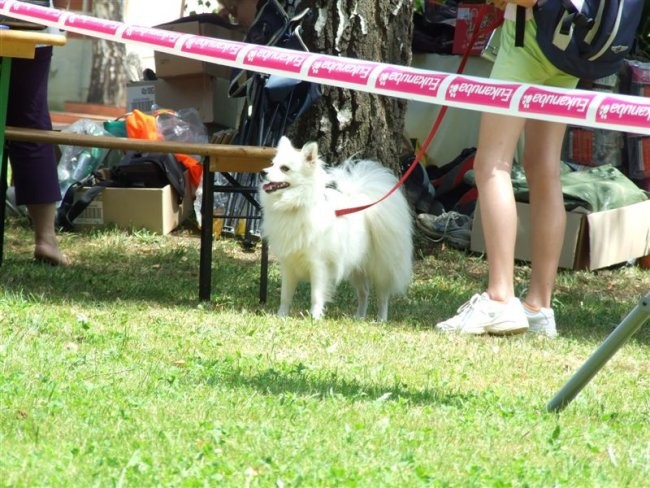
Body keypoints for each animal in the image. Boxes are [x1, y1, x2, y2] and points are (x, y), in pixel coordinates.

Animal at [256, 136, 410, 320]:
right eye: (272, 164)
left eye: (285, 168)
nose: (262, 172)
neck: (295, 206)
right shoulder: (288, 265)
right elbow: (285, 296)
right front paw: (281, 316)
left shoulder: (318, 265)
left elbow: (316, 296)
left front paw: (314, 318)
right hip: (356, 267)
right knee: (364, 293)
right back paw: (359, 317)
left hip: (381, 268)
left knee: (382, 296)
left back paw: (380, 319)